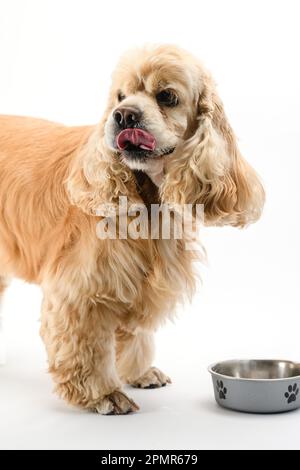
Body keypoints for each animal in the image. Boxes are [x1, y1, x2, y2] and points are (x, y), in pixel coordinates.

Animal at [0, 43, 264, 412]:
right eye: (120, 96)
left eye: (167, 96)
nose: (123, 116)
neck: (150, 200)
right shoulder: (81, 288)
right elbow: (88, 347)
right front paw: (102, 393)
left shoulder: (140, 283)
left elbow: (135, 335)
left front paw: (138, 373)